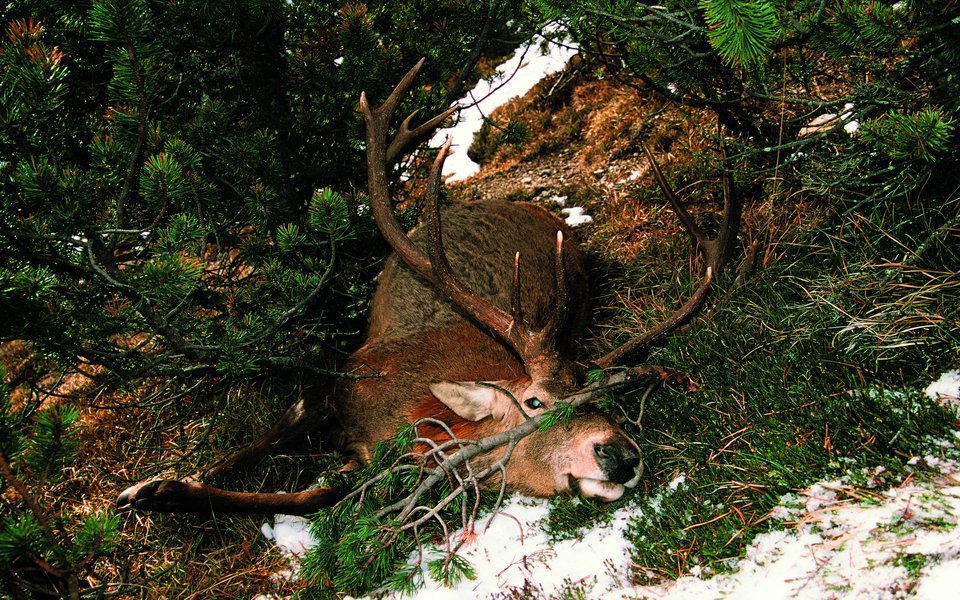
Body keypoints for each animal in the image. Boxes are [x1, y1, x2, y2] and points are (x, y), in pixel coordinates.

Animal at [117, 60, 741, 516]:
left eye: (606, 398)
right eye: (535, 401)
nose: (620, 455)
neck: (416, 420)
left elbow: (317, 494)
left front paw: (167, 490)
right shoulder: (345, 379)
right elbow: (265, 440)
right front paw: (153, 486)